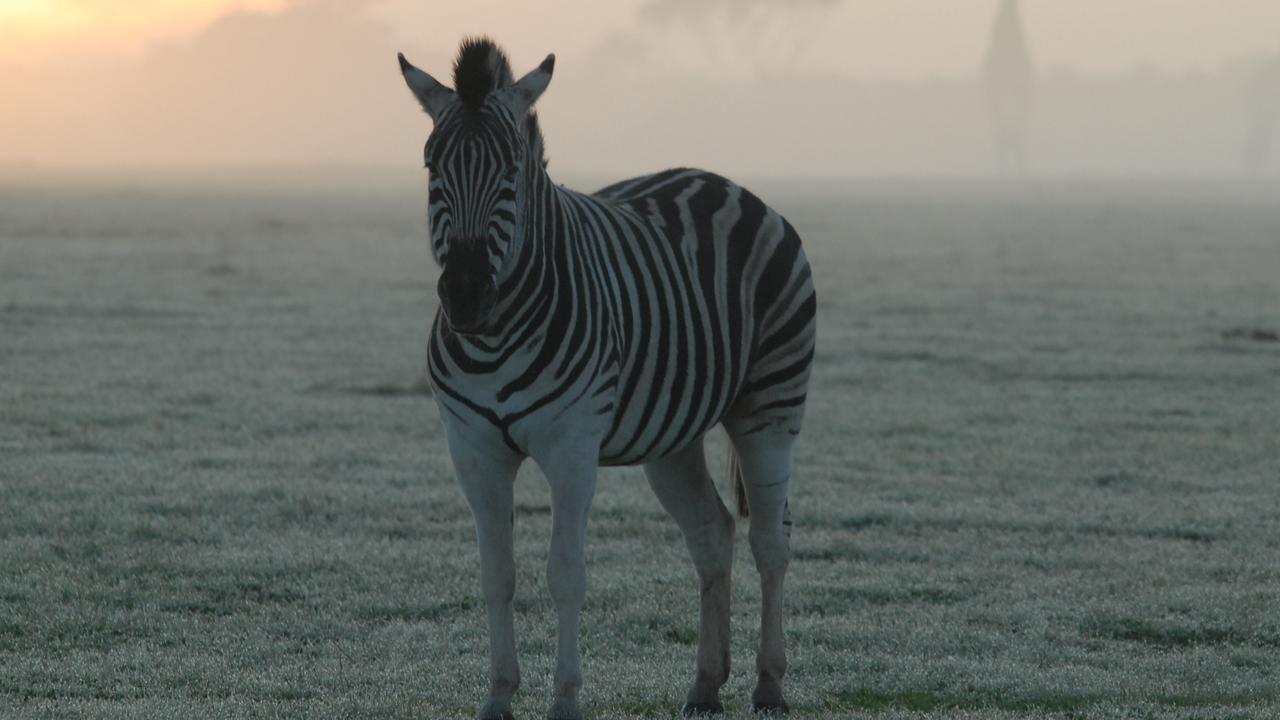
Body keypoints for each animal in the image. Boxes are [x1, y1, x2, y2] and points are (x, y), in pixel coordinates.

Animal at [396, 37, 819, 717]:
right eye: (433, 168)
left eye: (510, 172)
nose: (464, 296)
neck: (496, 334)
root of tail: (722, 181)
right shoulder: (473, 449)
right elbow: (497, 576)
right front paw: (498, 695)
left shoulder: (572, 447)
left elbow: (565, 573)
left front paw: (566, 699)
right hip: (673, 436)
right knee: (713, 531)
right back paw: (706, 685)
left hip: (771, 405)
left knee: (770, 539)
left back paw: (769, 684)